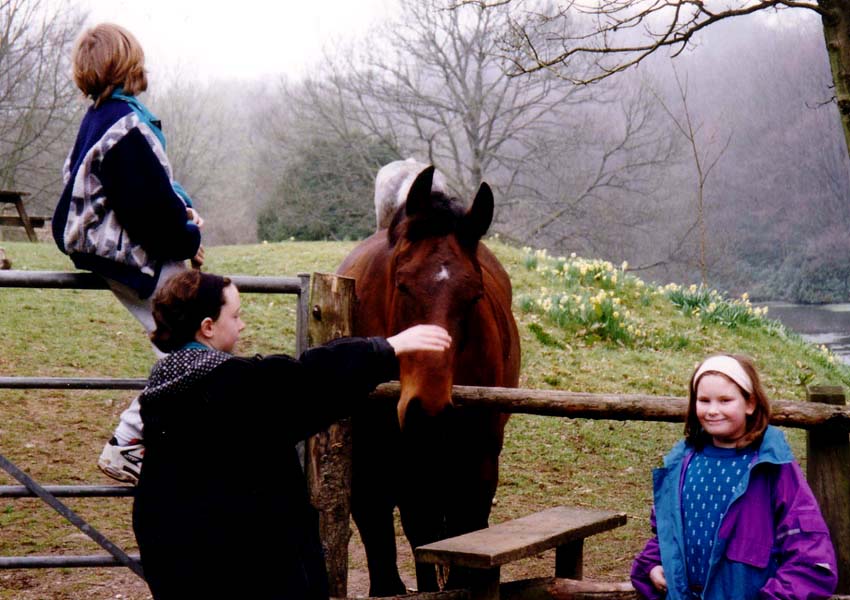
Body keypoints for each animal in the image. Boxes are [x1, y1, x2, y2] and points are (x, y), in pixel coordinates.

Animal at [336, 166, 520, 592]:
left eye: (474, 295)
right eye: (402, 284)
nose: (428, 411)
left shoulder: (477, 467)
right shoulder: (370, 481)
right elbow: (389, 573)